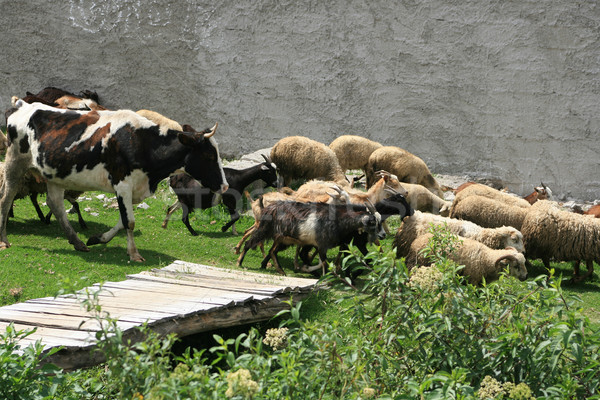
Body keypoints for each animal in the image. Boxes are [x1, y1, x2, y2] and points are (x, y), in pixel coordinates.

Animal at [1, 99, 227, 262]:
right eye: (209, 155)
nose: (225, 186)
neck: (142, 142)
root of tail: (24, 105)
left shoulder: (133, 189)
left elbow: (122, 220)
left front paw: (98, 238)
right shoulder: (123, 184)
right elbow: (130, 222)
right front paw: (134, 254)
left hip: (54, 174)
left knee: (55, 204)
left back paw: (77, 242)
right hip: (14, 163)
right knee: (6, 199)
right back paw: (4, 240)